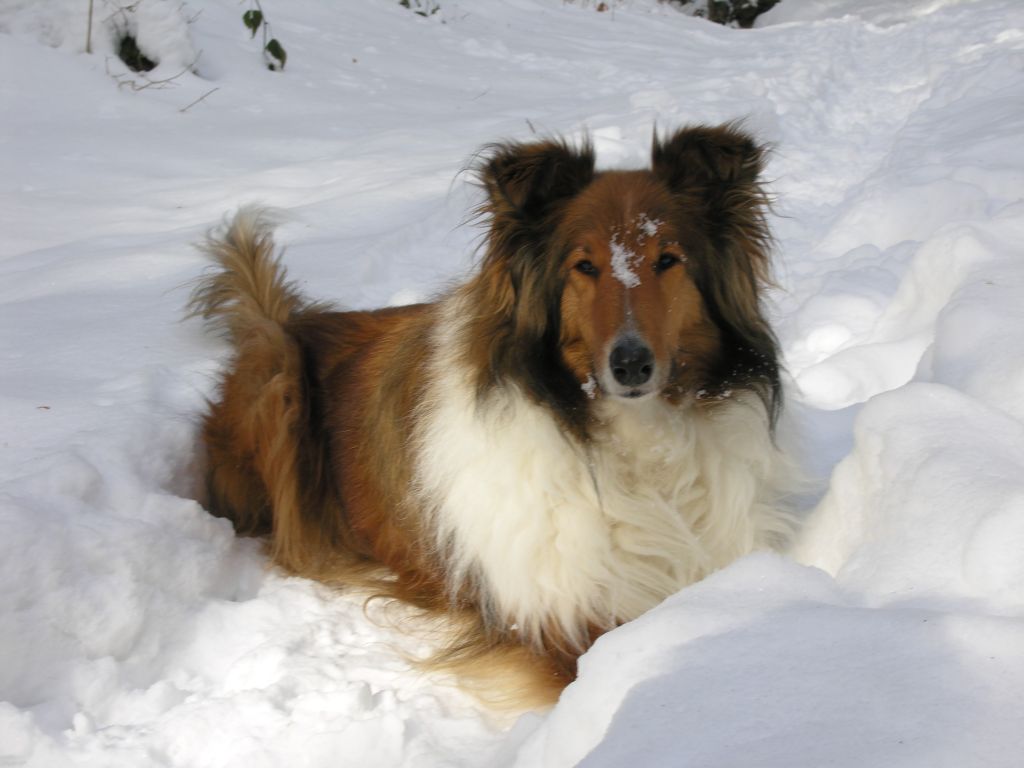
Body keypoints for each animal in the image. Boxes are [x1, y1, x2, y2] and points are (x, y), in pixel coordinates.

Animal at [193, 123, 798, 708]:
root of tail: (286, 320)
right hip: (277, 378)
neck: (630, 440)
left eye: (668, 260)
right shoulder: (555, 624)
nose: (630, 364)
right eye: (584, 266)